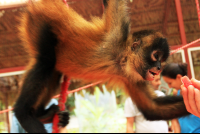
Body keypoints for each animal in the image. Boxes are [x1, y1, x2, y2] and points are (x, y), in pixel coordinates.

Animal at [14, 0, 189, 132]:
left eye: (162, 60)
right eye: (156, 56)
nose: (159, 67)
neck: (120, 60)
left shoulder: (131, 76)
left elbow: (152, 109)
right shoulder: (117, 33)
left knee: (53, 70)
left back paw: (41, 115)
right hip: (40, 21)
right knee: (45, 62)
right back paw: (24, 113)